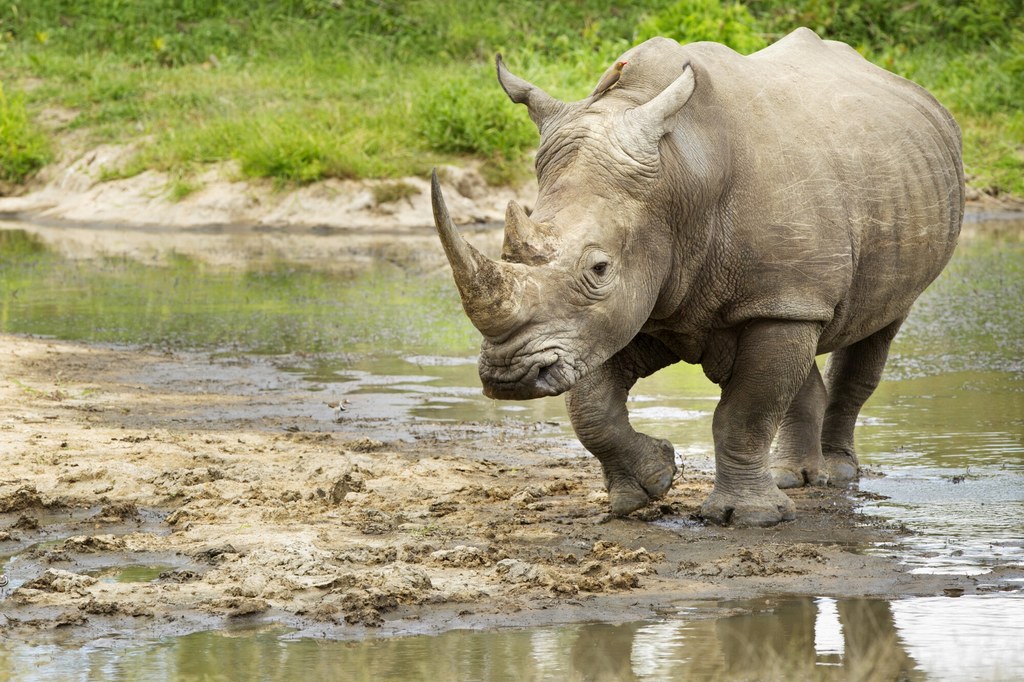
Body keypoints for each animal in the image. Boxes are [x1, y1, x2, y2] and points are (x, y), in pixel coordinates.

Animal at [428, 27, 962, 524]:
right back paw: (793, 478)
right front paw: (647, 486)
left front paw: (748, 518)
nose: (509, 376)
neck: (679, 177)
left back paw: (835, 475)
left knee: (877, 327)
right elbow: (591, 407)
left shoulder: (764, 298)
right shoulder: (618, 312)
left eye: (599, 268)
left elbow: (745, 413)